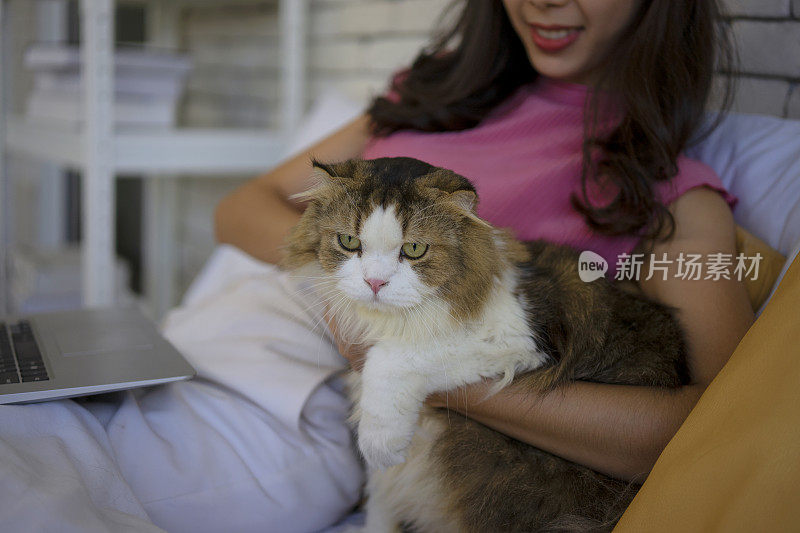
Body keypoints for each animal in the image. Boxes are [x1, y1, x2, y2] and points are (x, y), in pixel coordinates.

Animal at [282, 156, 688, 528]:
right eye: (349, 241)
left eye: (414, 250)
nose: (375, 283)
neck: (389, 322)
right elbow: (379, 515)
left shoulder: (520, 341)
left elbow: (392, 361)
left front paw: (380, 443)